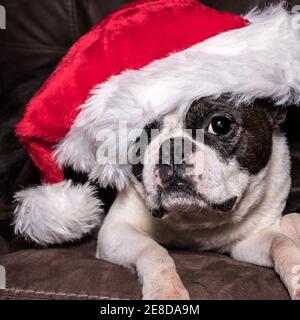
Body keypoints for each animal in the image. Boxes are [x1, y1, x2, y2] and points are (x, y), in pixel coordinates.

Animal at [95, 97, 300, 300]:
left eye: (220, 125)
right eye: (140, 135)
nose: (172, 148)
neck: (196, 218)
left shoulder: (249, 241)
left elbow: (281, 242)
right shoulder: (114, 231)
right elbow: (152, 249)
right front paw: (167, 292)